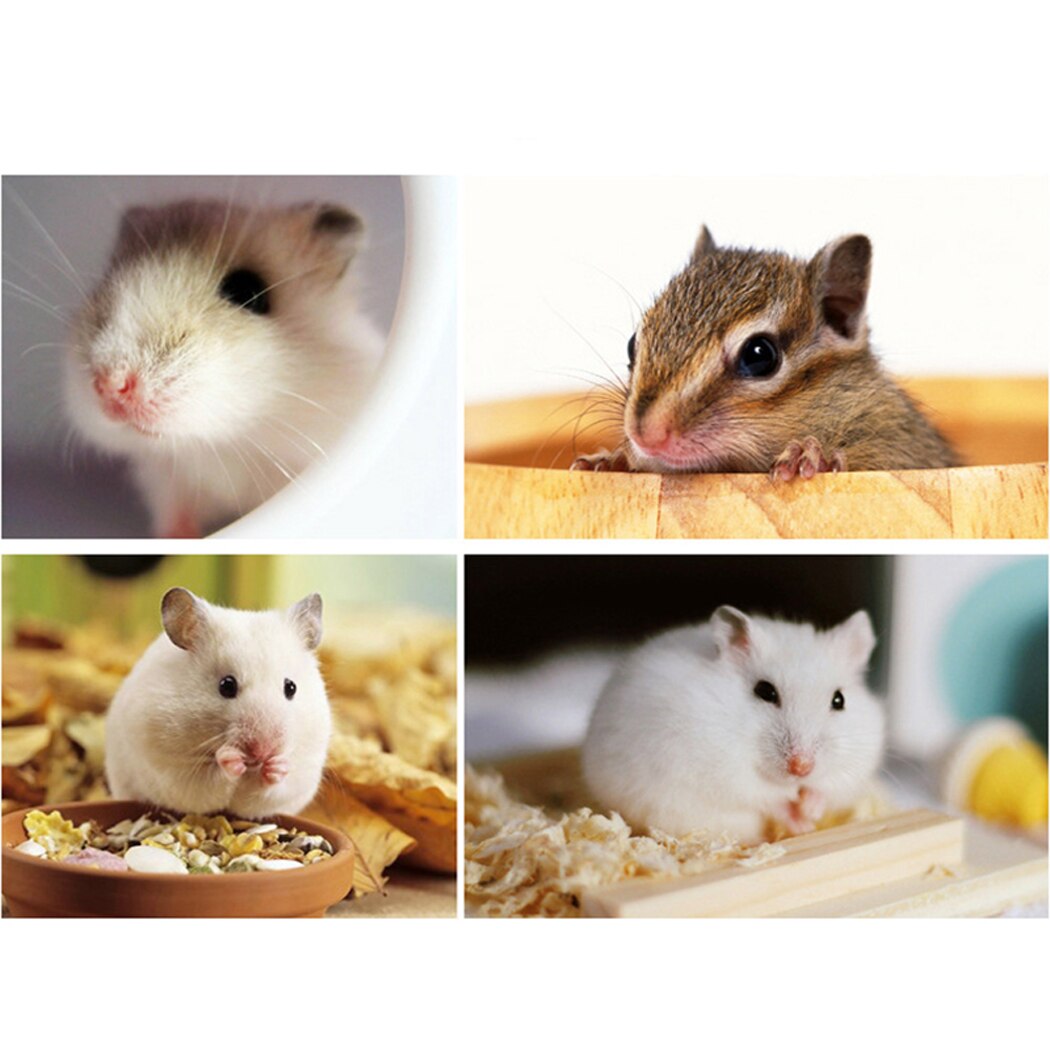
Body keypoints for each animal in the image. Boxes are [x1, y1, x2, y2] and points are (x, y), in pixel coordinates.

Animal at [64, 198, 384, 537]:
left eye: (246, 291)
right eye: (108, 278)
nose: (110, 386)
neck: (227, 445)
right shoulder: (168, 481)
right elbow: (176, 517)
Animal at [104, 587, 331, 819]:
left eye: (291, 687)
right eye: (226, 685)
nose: (263, 752)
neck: (250, 769)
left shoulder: (299, 775)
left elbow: (272, 789)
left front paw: (277, 765)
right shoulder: (174, 771)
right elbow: (211, 781)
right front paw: (229, 757)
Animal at [572, 228, 959, 478]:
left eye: (759, 355)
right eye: (631, 343)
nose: (645, 434)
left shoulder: (899, 445)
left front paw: (811, 455)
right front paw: (611, 460)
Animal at [581, 606, 885, 842]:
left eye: (839, 700)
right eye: (765, 691)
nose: (801, 767)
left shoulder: (853, 765)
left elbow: (827, 787)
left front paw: (810, 811)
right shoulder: (726, 772)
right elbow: (768, 797)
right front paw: (802, 824)